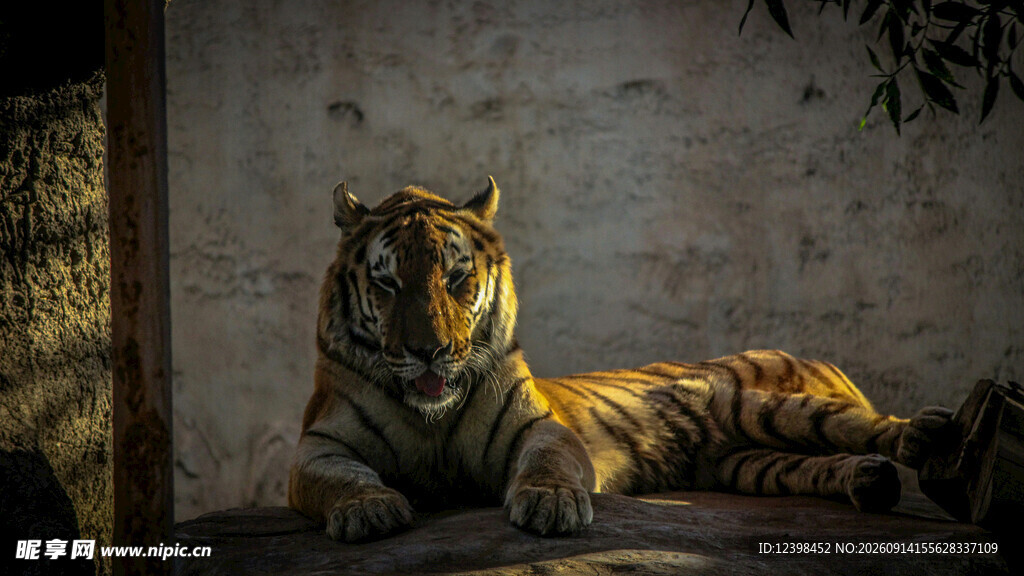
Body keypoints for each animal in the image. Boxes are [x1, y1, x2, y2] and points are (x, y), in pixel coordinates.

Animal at [288, 177, 960, 542]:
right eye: (388, 284)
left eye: (456, 279)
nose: (429, 351)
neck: (431, 418)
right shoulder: (318, 447)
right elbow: (340, 478)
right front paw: (368, 509)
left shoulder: (540, 428)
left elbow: (549, 461)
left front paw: (551, 504)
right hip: (748, 462)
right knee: (823, 463)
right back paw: (870, 481)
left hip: (762, 406)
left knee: (862, 425)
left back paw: (927, 433)